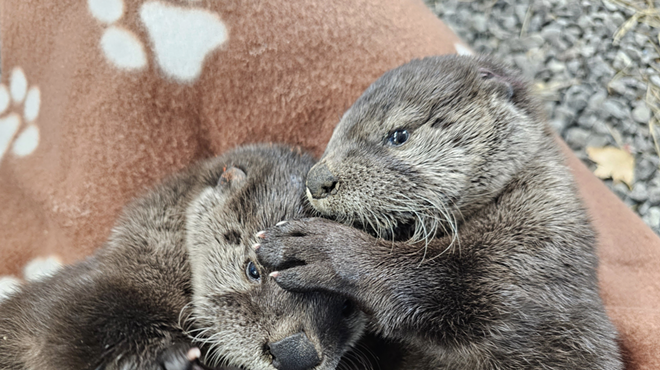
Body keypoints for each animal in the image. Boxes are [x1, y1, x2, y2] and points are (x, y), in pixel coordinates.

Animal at [256, 55, 624, 370]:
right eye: (333, 137)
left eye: (398, 135)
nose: (316, 180)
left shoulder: (533, 259)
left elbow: (439, 279)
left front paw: (315, 248)